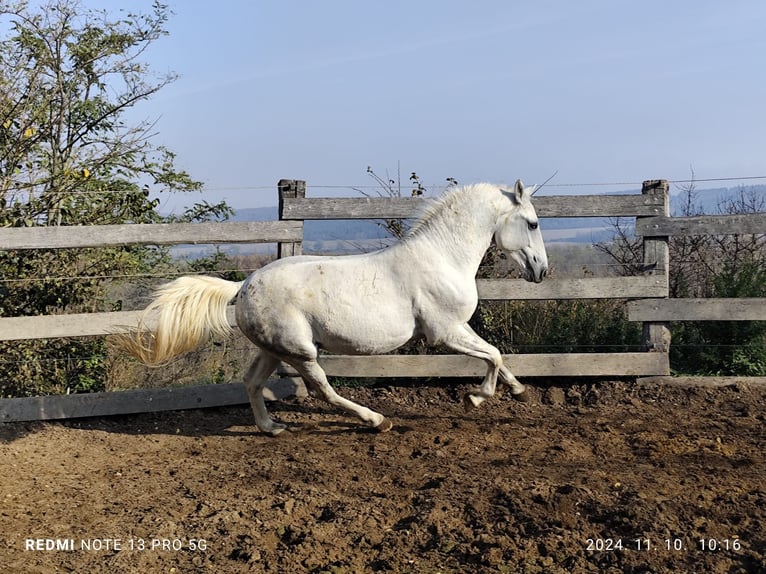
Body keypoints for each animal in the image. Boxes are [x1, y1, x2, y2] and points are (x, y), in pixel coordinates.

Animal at [123, 180, 548, 436]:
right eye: (532, 223)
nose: (542, 271)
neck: (442, 257)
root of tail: (243, 285)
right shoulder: (444, 332)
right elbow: (492, 355)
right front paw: (476, 397)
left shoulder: (459, 327)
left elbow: (498, 355)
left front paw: (519, 392)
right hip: (301, 352)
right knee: (324, 390)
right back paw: (375, 420)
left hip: (274, 349)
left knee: (252, 381)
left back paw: (271, 427)